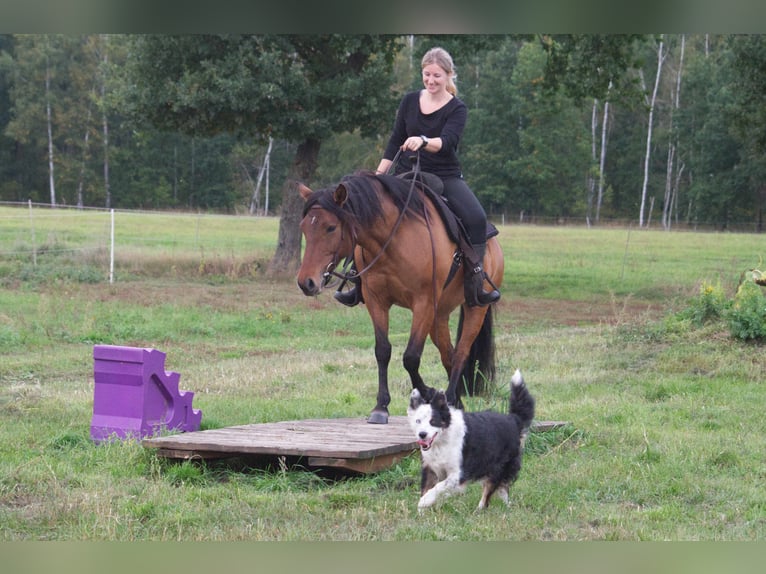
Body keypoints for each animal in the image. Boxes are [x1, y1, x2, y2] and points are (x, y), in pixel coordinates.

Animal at [296, 171, 508, 424]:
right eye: (304, 228)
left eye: (330, 228)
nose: (306, 282)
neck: (393, 238)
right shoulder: (377, 301)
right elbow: (382, 350)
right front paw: (381, 406)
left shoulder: (423, 303)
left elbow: (411, 357)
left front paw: (427, 392)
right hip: (439, 316)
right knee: (448, 354)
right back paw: (454, 401)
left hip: (474, 308)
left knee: (461, 354)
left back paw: (449, 399)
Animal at [408, 374, 536, 512]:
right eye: (418, 421)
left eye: (433, 421)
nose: (422, 434)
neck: (441, 441)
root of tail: (513, 419)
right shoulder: (430, 467)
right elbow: (427, 488)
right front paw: (422, 511)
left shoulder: (458, 473)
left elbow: (438, 487)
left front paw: (424, 502)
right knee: (503, 488)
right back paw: (505, 505)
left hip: (498, 467)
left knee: (489, 492)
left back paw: (479, 510)